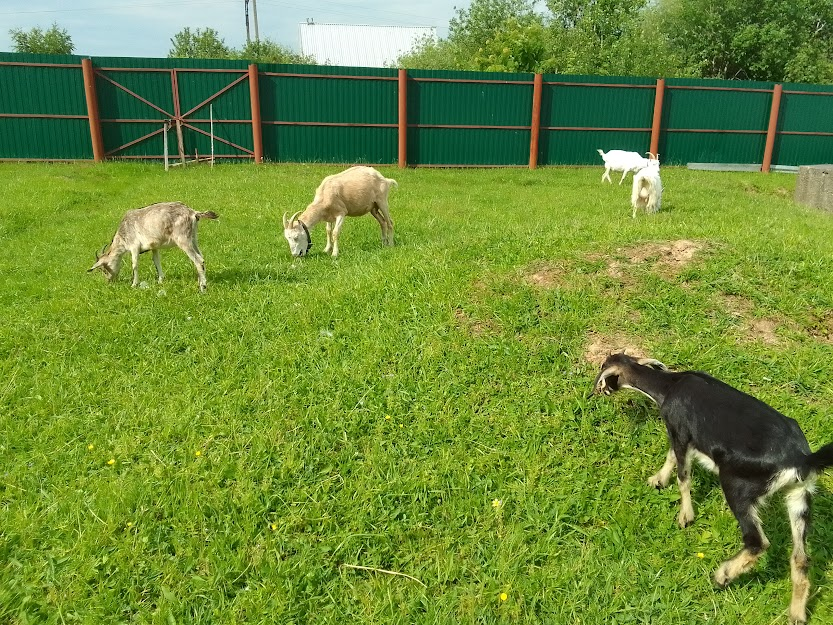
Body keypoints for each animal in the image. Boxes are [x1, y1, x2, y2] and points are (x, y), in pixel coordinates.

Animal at [88, 202, 218, 294]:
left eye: (104, 269)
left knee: (198, 260)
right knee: (201, 257)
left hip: (183, 239)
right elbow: (156, 261)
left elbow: (134, 265)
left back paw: (202, 288)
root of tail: (193, 213)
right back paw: (200, 280)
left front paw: (134, 284)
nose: (109, 281)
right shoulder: (154, 247)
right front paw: (160, 280)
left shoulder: (134, 246)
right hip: (193, 238)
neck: (123, 233)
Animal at [588, 354, 832, 620]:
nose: (598, 392)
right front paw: (658, 480)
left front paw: (685, 516)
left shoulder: (680, 431)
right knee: (801, 558)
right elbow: (672, 457)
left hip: (738, 487)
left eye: (603, 371)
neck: (670, 386)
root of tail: (801, 459)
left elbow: (682, 474)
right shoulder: (681, 437)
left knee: (757, 542)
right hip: (799, 497)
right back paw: (796, 613)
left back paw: (723, 575)